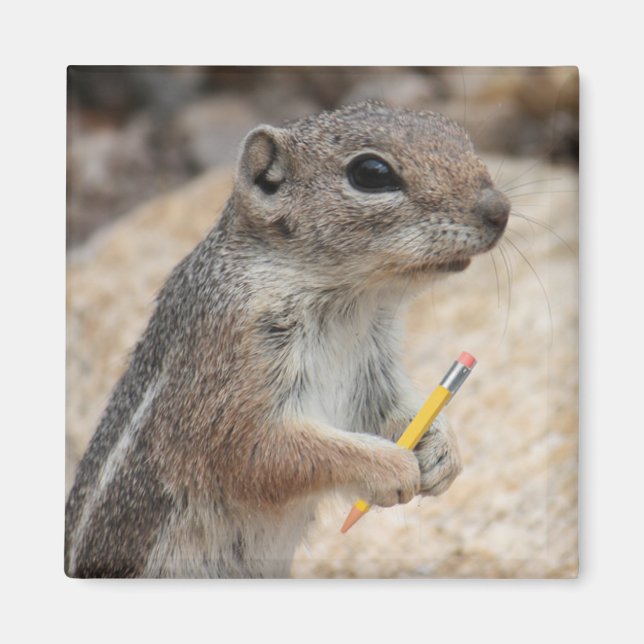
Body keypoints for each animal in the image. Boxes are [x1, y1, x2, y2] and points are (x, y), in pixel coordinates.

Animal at [65, 100, 510, 578]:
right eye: (371, 173)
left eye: (460, 135)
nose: (500, 209)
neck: (352, 304)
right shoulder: (230, 363)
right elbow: (259, 451)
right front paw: (391, 467)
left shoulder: (374, 372)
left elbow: (398, 412)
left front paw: (444, 453)